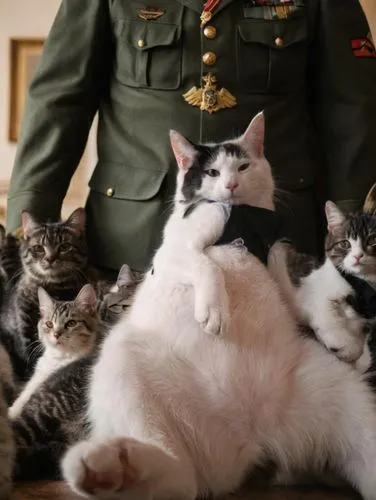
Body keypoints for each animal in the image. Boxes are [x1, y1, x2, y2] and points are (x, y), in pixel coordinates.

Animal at [9, 284, 99, 420]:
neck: (59, 357)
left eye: (71, 323)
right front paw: (13, 410)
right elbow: (27, 390)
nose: (56, 334)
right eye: (49, 324)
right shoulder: (39, 373)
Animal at [64, 113, 376, 500]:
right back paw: (109, 468)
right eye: (212, 172)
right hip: (122, 358)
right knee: (177, 475)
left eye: (243, 166)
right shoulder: (172, 255)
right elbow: (205, 265)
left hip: (344, 392)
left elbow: (306, 304)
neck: (243, 219)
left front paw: (341, 340)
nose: (230, 184)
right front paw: (215, 309)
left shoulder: (279, 263)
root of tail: (246, 439)